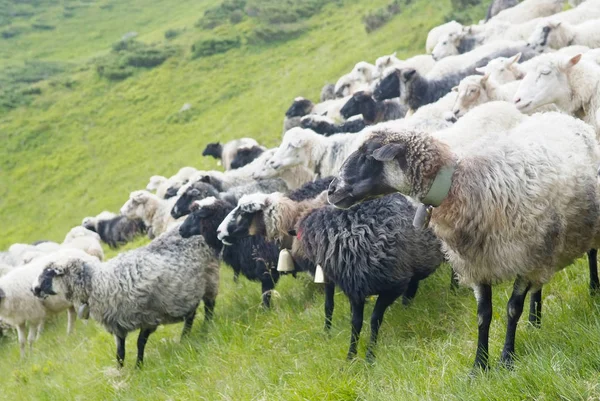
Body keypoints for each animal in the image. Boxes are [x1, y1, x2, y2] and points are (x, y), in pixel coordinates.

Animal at [32, 225, 220, 366]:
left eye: (48, 274)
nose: (34, 289)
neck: (97, 283)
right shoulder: (117, 325)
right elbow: (120, 352)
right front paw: (120, 371)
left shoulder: (149, 318)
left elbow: (139, 343)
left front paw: (138, 366)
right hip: (189, 290)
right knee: (191, 314)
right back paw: (184, 337)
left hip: (210, 277)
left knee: (209, 306)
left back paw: (206, 327)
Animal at [328, 111, 600, 370]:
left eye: (368, 155)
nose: (331, 190)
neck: (460, 185)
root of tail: (559, 115)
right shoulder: (477, 264)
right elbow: (483, 315)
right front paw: (479, 366)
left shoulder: (524, 257)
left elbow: (512, 309)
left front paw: (506, 359)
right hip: (547, 246)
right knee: (539, 284)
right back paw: (535, 320)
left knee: (591, 254)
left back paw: (593, 289)